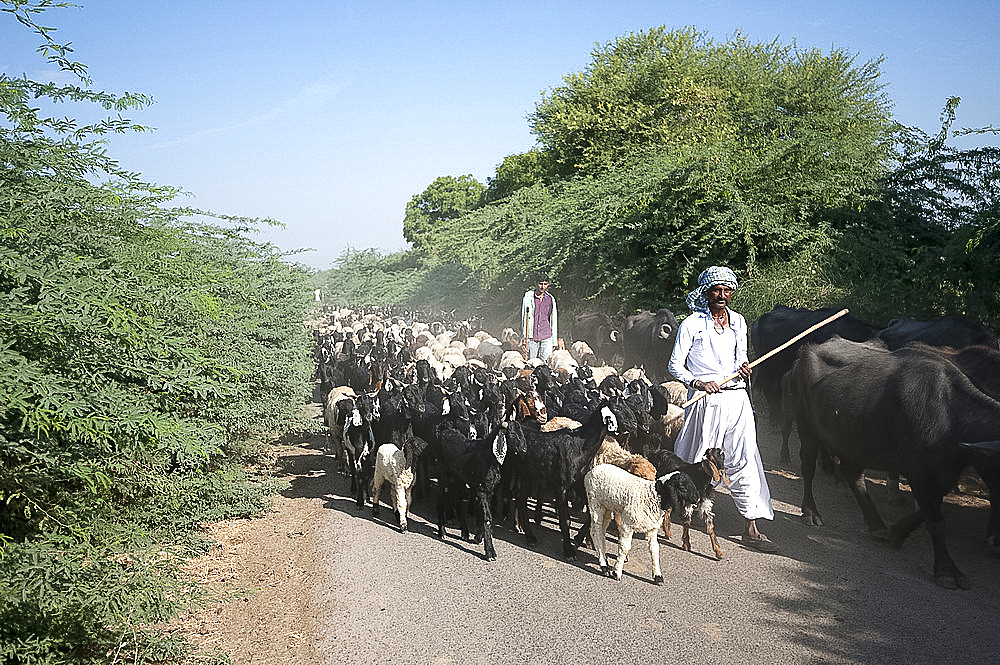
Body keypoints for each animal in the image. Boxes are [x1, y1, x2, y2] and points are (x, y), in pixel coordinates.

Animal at [784, 338, 1000, 588]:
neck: (951, 417)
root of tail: (804, 353)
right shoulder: (919, 472)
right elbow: (935, 521)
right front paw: (946, 570)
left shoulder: (942, 475)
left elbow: (926, 513)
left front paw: (897, 532)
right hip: (807, 426)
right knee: (808, 467)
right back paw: (811, 512)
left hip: (851, 438)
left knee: (853, 474)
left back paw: (877, 525)